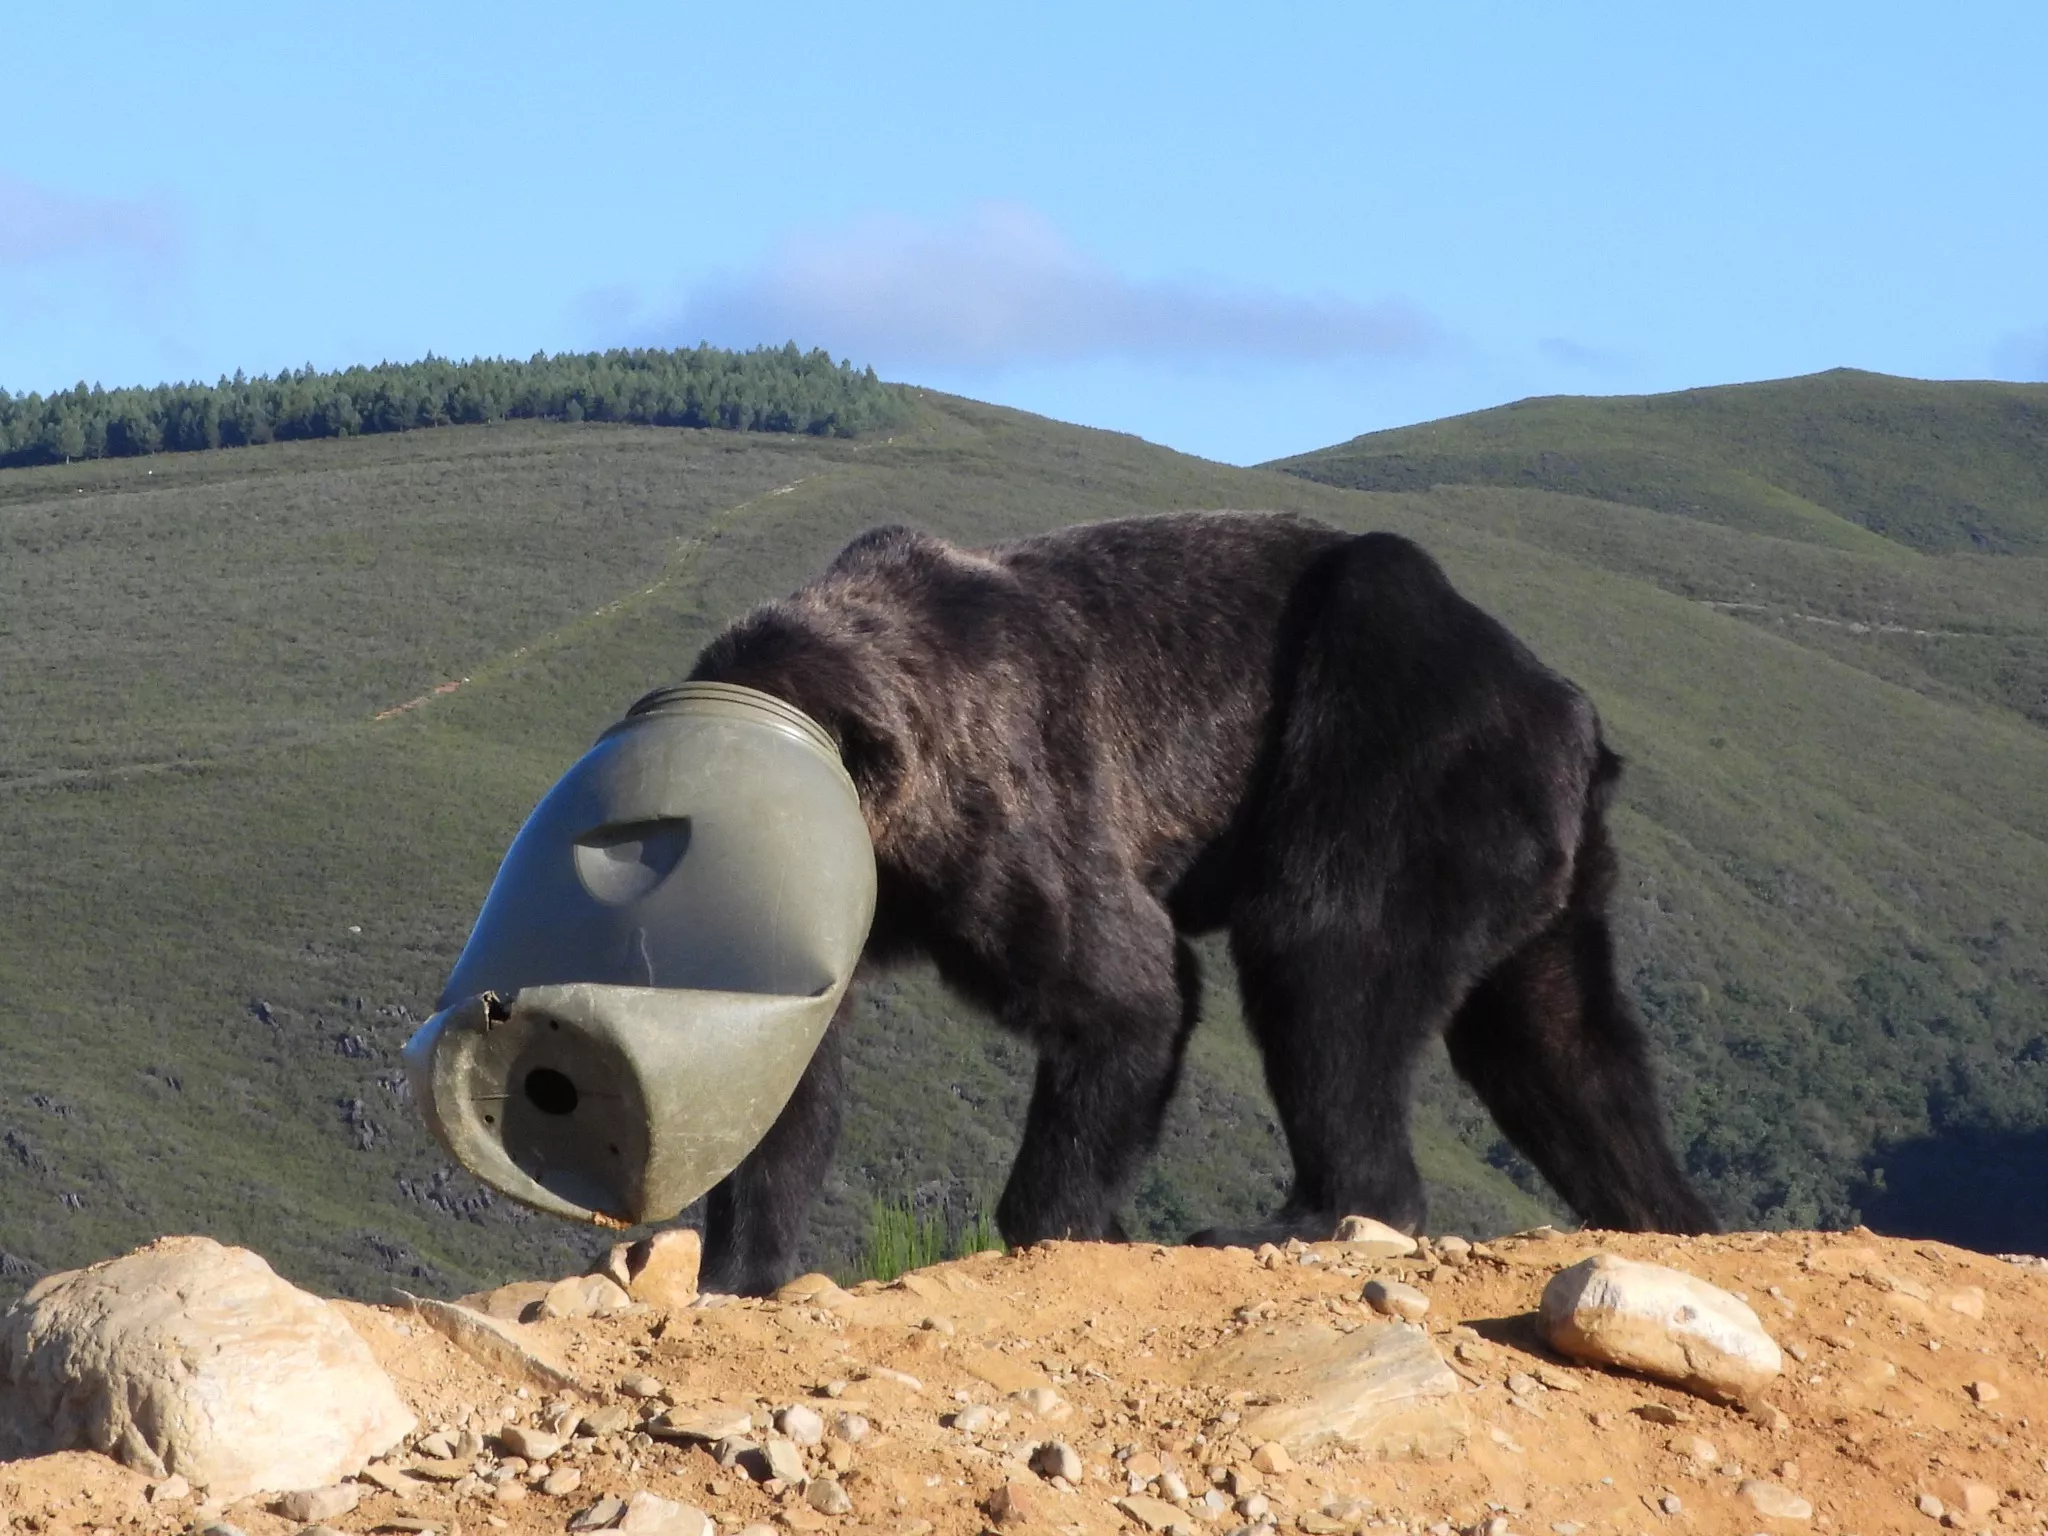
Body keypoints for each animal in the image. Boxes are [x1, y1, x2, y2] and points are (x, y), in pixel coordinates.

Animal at [649, 509, 1716, 1294]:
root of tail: (1569, 711)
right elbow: (780, 1078)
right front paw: (737, 1267)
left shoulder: (1001, 820)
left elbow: (1127, 995)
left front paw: (1060, 1223)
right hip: (1537, 863)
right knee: (1561, 1044)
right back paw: (1663, 1212)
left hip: (1396, 744)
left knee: (1327, 959)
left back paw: (1297, 1214)